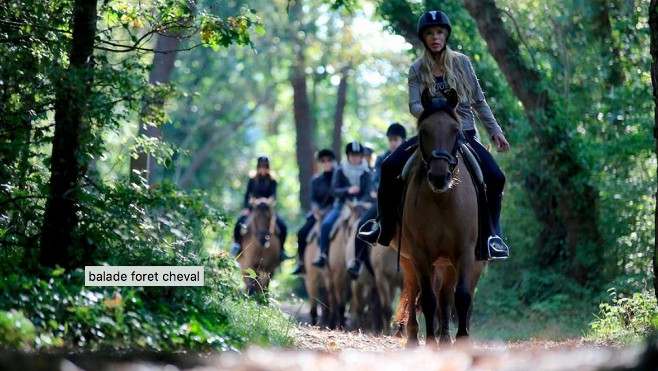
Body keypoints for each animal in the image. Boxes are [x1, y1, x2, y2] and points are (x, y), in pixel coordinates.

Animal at [390, 90, 482, 348]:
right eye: (424, 131)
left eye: (455, 130)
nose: (439, 177)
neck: (443, 200)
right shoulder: (420, 253)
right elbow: (428, 298)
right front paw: (430, 340)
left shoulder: (465, 252)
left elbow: (460, 296)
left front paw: (460, 339)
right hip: (410, 259)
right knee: (414, 290)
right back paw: (413, 338)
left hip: (446, 262)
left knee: (445, 295)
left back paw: (445, 338)